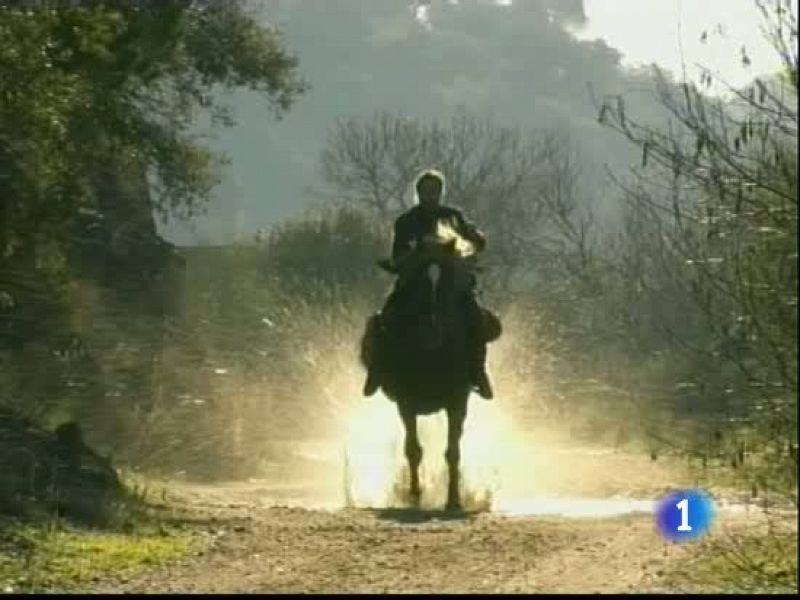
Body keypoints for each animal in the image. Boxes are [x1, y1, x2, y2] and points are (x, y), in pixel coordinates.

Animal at [362, 218, 482, 508]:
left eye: (448, 280)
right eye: (417, 281)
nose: (432, 329)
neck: (430, 351)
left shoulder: (457, 401)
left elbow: (453, 451)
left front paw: (454, 500)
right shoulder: (406, 402)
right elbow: (413, 450)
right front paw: (415, 496)